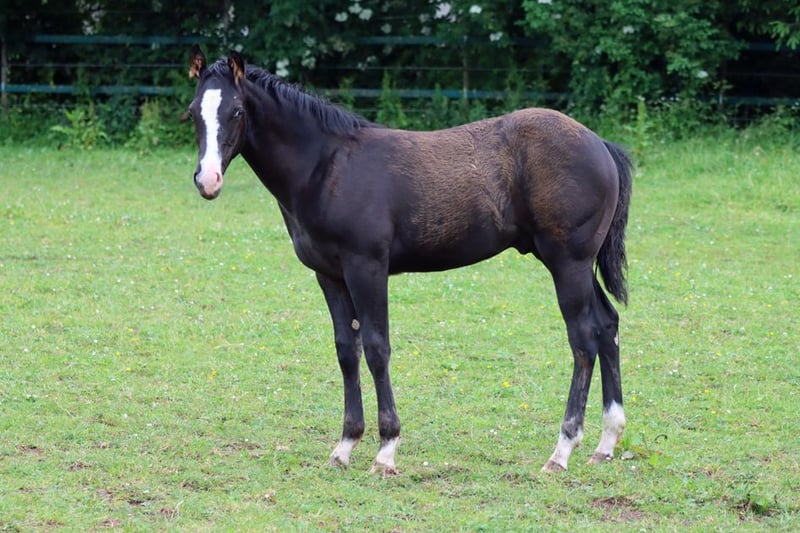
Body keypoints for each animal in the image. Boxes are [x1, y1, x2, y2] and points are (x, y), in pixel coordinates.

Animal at [186, 45, 633, 474]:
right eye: (193, 113)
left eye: (236, 111)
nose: (208, 181)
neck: (327, 167)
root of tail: (602, 145)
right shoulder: (329, 275)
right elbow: (346, 350)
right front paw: (345, 446)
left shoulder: (367, 266)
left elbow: (376, 347)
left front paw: (386, 450)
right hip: (573, 263)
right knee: (607, 325)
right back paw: (606, 443)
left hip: (568, 263)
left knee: (583, 338)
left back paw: (563, 449)